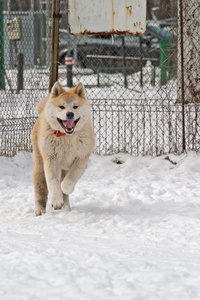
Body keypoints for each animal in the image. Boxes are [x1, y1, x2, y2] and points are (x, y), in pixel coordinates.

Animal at [31, 81, 95, 216]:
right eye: (62, 107)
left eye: (75, 106)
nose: (70, 114)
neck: (67, 137)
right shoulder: (51, 159)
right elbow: (53, 182)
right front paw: (56, 202)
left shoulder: (82, 159)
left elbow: (70, 179)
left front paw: (65, 188)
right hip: (40, 166)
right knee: (41, 189)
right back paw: (40, 210)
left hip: (64, 169)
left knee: (65, 192)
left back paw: (66, 208)